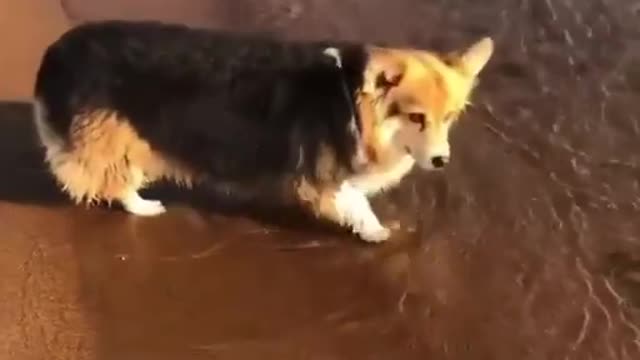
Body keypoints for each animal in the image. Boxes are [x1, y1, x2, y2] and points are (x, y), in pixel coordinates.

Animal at [32, 21, 496, 243]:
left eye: (449, 117)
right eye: (416, 118)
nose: (441, 161)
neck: (351, 100)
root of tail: (56, 51)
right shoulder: (318, 174)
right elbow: (354, 202)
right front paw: (376, 231)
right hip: (119, 135)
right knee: (115, 176)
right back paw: (144, 205)